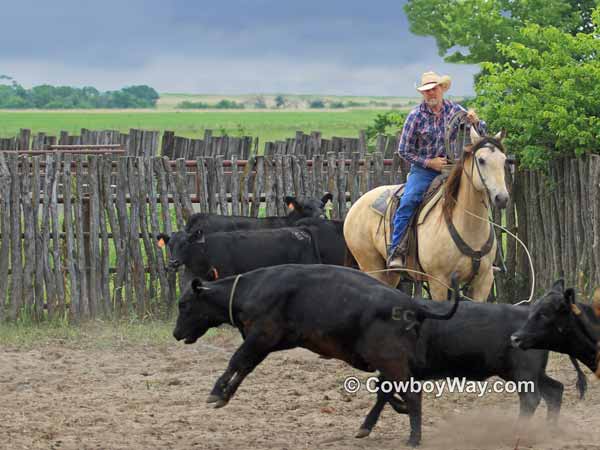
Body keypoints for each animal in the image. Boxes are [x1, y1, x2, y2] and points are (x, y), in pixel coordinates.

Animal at [173, 266, 460, 444]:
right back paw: (374, 424)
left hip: (389, 358)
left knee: (411, 392)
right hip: (389, 361)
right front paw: (224, 396)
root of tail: (413, 305)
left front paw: (215, 392)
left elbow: (236, 360)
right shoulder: (266, 343)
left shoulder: (261, 336)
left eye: (184, 304)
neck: (251, 289)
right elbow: (245, 366)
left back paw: (413, 437)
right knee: (390, 390)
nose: (176, 333)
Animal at [344, 126, 508, 300]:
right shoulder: (438, 281)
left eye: (504, 160)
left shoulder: (484, 281)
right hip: (371, 266)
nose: (502, 198)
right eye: (481, 160)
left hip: (391, 273)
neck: (468, 227)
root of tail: (356, 205)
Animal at [356, 298, 584, 440]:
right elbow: (382, 390)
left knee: (531, 399)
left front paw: (367, 426)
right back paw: (549, 430)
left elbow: (383, 390)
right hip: (523, 372)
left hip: (524, 372)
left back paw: (518, 431)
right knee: (555, 390)